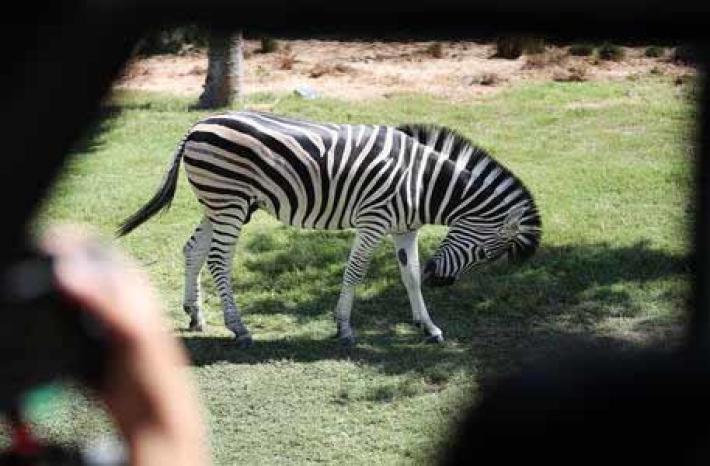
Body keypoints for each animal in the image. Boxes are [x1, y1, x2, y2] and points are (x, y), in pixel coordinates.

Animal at [118, 111, 541, 348]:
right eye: (485, 254)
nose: (441, 281)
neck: (422, 185)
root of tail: (197, 125)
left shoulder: (405, 230)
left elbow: (409, 277)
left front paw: (428, 327)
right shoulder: (374, 221)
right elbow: (355, 272)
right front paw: (344, 328)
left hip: (219, 203)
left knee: (194, 249)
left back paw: (195, 315)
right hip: (231, 202)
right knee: (219, 259)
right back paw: (239, 328)